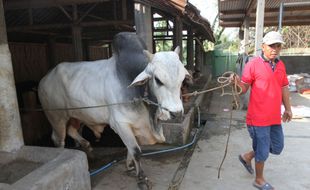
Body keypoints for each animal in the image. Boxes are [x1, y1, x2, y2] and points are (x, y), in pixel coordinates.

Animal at [37, 31, 190, 188]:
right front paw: (141, 178)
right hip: (57, 118)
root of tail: (45, 79)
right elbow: (136, 151)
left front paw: (130, 167)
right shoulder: (120, 124)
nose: (176, 113)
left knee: (72, 131)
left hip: (76, 115)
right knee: (58, 139)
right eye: (158, 80)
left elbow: (131, 149)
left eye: (182, 79)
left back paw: (88, 148)